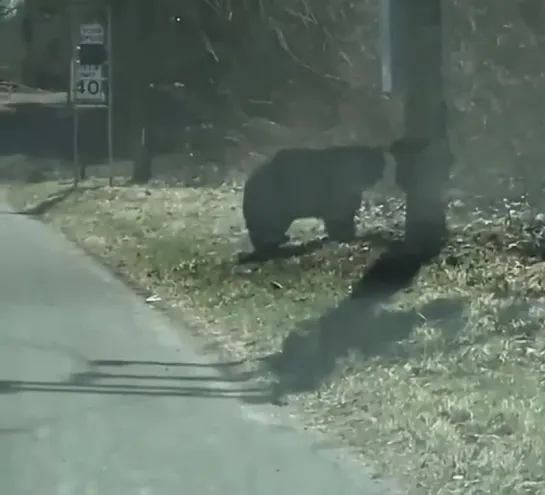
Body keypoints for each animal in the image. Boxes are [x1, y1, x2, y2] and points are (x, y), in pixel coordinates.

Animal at [241, 144, 386, 252]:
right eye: (370, 165)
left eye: (379, 165)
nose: (375, 178)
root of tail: (249, 181)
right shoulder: (336, 201)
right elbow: (338, 220)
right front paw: (344, 235)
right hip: (273, 206)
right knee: (264, 229)